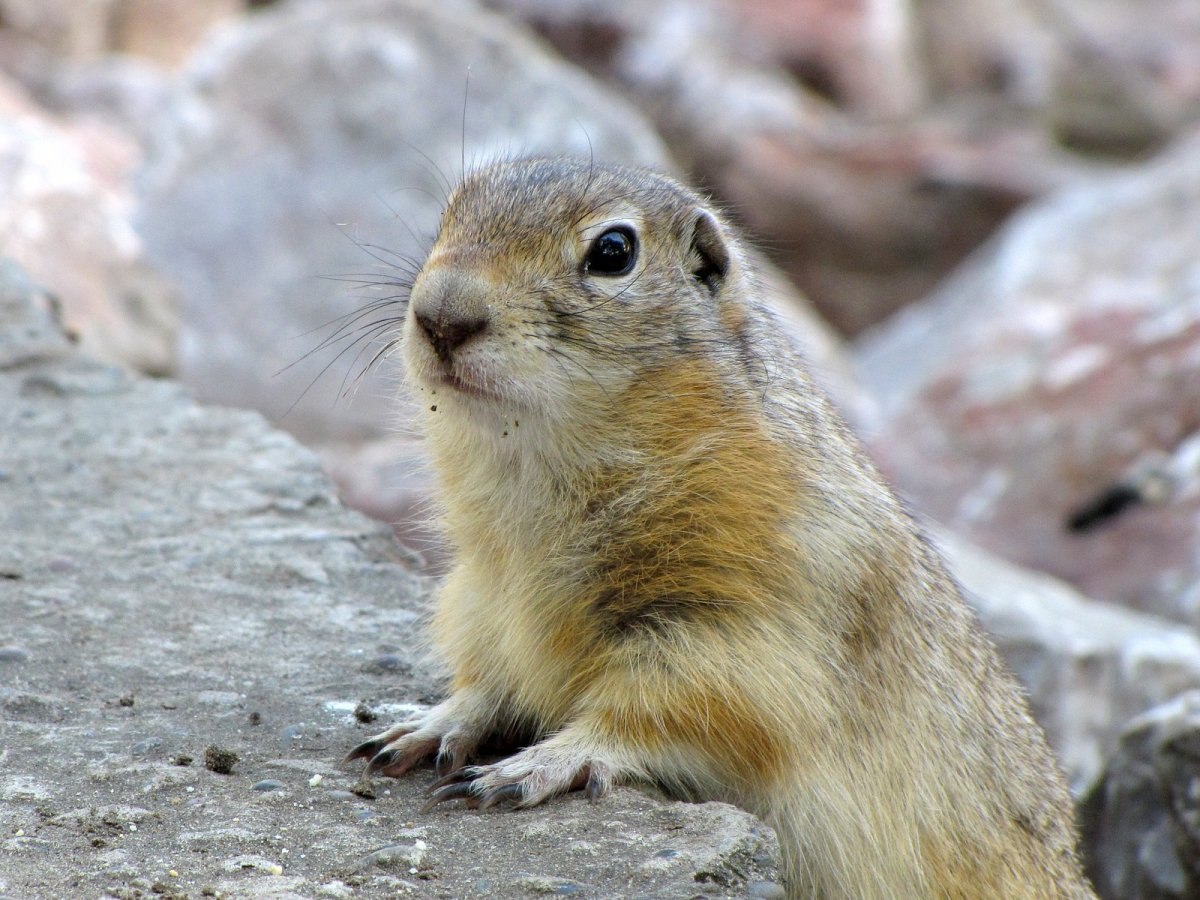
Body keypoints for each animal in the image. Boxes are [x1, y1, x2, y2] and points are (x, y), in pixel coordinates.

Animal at [348, 158, 1099, 897]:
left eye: (613, 251)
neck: (533, 470)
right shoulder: (480, 595)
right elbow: (489, 679)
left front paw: (537, 765)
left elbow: (666, 709)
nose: (442, 316)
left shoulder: (733, 630)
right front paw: (425, 726)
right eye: (450, 212)